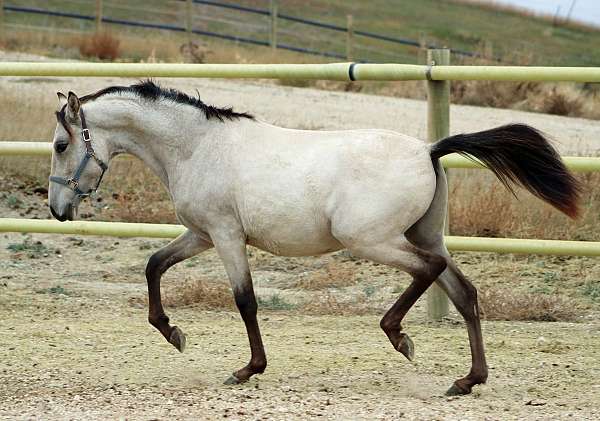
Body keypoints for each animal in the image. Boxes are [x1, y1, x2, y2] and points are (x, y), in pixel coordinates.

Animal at [48, 80, 580, 396]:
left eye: (59, 143)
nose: (57, 210)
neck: (198, 147)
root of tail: (429, 150)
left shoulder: (225, 234)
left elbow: (245, 300)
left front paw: (247, 369)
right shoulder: (200, 234)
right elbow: (154, 264)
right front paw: (174, 334)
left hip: (373, 240)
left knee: (429, 274)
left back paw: (400, 337)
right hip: (426, 236)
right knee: (464, 292)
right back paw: (467, 380)